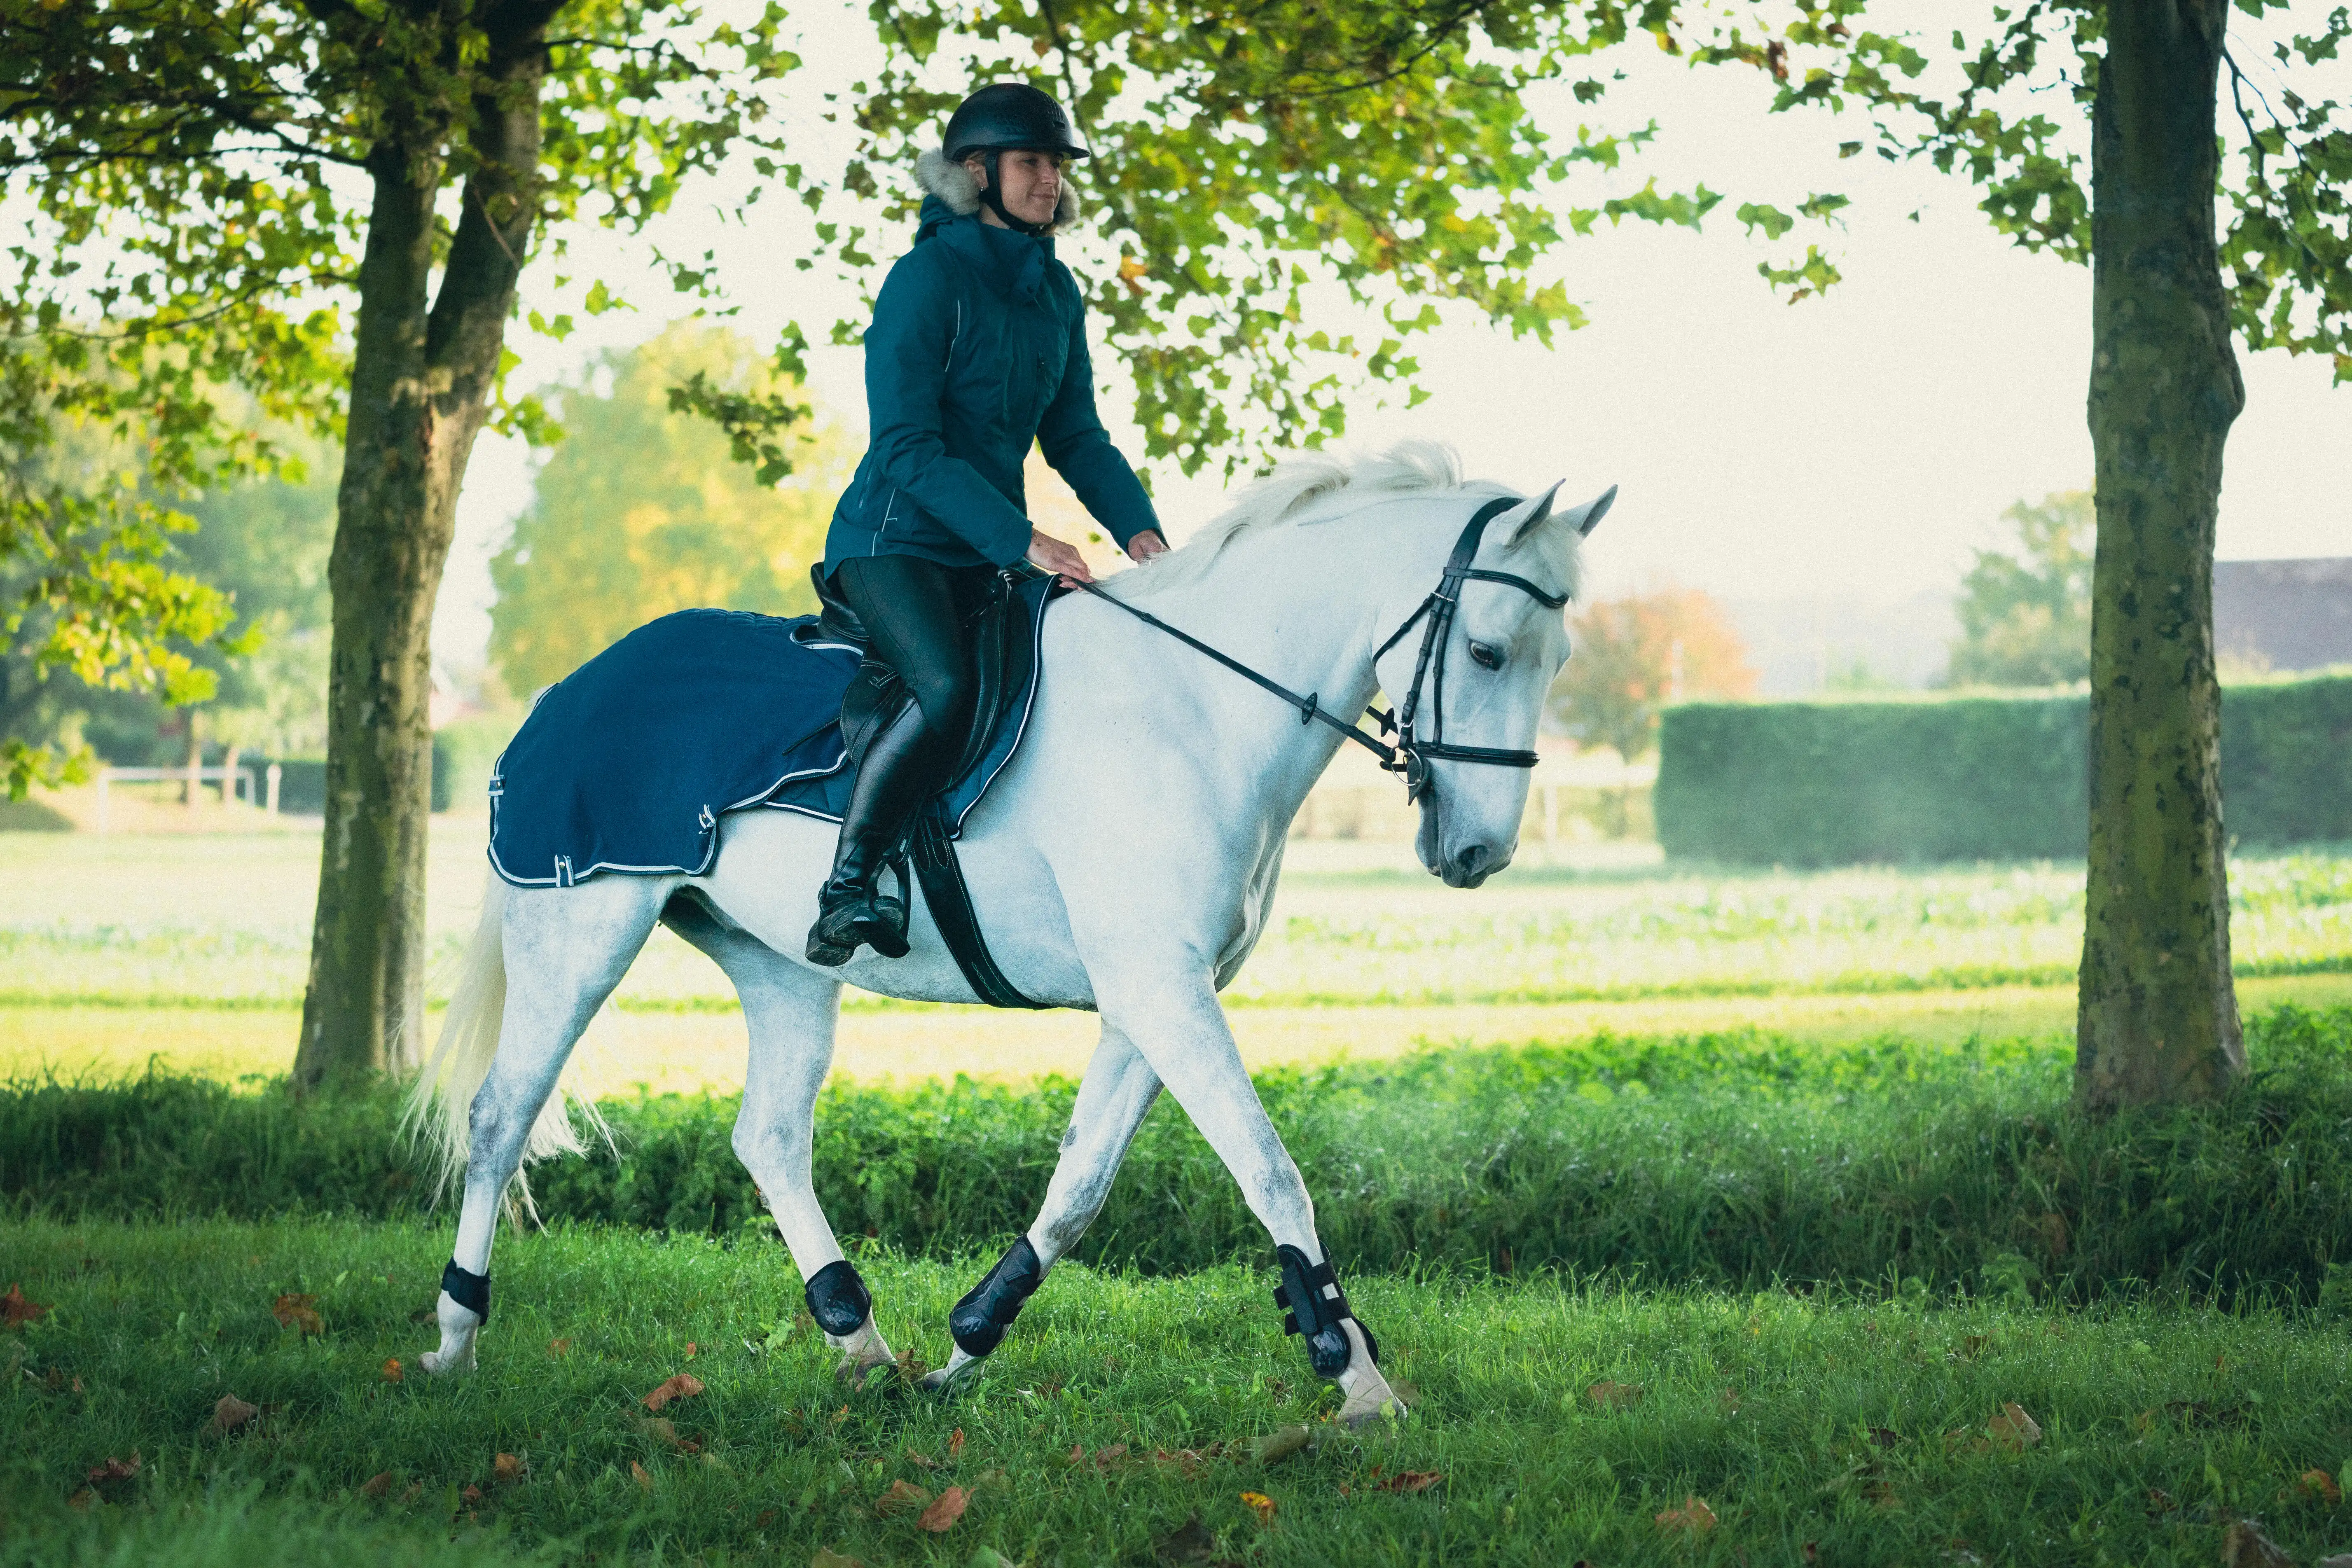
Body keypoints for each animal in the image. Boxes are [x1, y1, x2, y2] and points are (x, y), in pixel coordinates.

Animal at [409, 440, 1610, 1425]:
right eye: (1490, 652)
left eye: (1559, 663)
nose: (1478, 850)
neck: (1193, 707)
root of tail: (562, 689)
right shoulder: (1164, 990)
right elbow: (1272, 1173)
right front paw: (1350, 1369)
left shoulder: (1152, 996)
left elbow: (1075, 1189)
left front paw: (964, 1345)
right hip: (580, 930)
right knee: (500, 1115)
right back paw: (455, 1334)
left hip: (781, 965)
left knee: (768, 1137)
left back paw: (857, 1339)